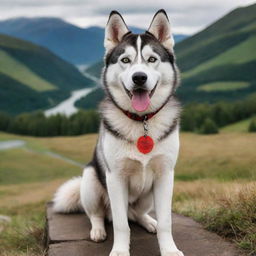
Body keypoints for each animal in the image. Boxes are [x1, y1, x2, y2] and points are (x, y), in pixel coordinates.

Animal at [53, 9, 183, 255]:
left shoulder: (165, 176)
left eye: (152, 59)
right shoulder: (115, 178)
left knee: (136, 214)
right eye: (125, 60)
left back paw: (148, 221)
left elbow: (167, 221)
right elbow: (122, 225)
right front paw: (120, 250)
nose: (139, 77)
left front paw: (169, 249)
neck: (142, 121)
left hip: (146, 197)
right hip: (90, 181)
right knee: (100, 214)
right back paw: (98, 230)